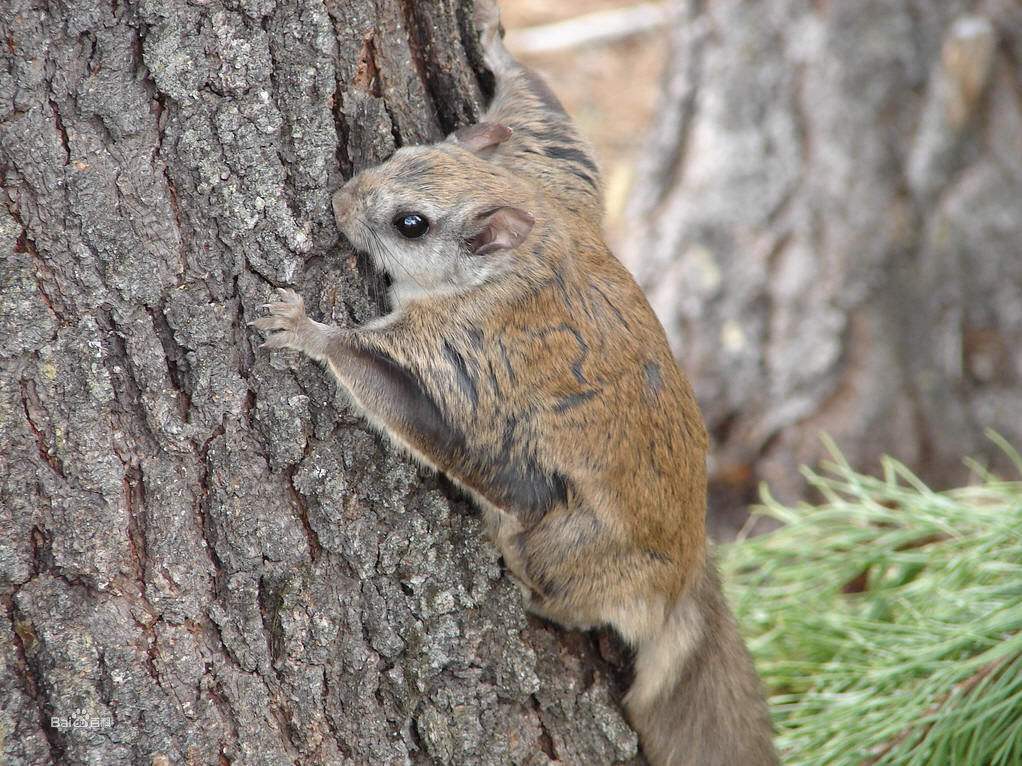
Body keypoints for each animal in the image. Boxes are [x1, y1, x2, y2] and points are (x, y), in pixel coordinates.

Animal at [253, 3, 772, 763]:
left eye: (411, 224)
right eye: (403, 153)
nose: (341, 199)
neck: (522, 255)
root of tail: (682, 580)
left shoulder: (461, 353)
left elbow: (404, 399)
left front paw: (309, 332)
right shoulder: (560, 180)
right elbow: (547, 118)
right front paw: (497, 47)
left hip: (567, 541)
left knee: (568, 594)